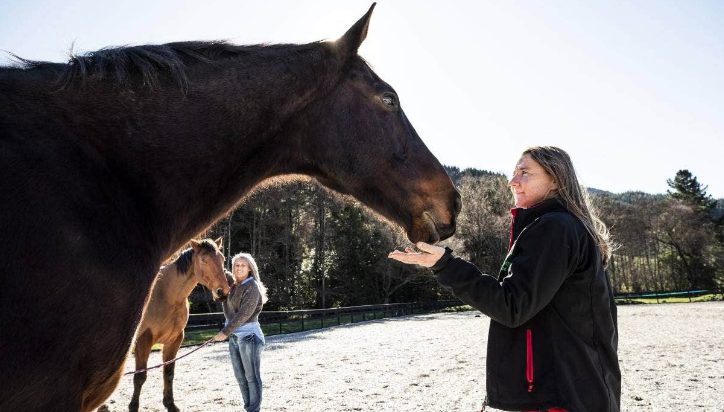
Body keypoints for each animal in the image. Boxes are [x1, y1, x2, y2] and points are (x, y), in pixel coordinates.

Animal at [128, 238, 227, 412]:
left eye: (222, 259)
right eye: (204, 260)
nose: (223, 291)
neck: (166, 295)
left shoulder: (174, 340)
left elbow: (169, 373)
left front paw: (170, 404)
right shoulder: (143, 340)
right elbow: (140, 376)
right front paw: (133, 406)